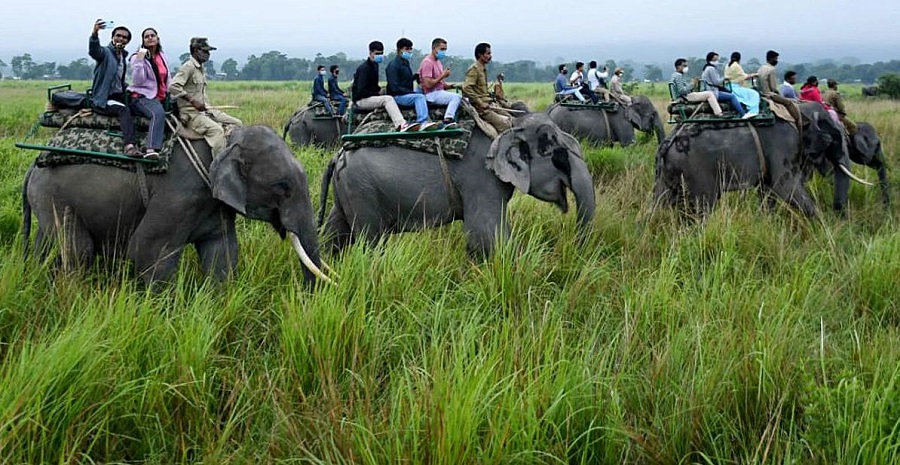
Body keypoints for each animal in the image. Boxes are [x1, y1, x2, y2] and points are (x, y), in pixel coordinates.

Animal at [22, 123, 328, 284]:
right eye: (282, 187)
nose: (308, 298)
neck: (226, 138)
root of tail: (33, 167)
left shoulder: (214, 204)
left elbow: (223, 252)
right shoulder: (179, 193)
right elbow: (148, 251)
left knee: (45, 246)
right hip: (55, 197)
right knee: (78, 251)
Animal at [318, 113, 596, 258]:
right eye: (559, 156)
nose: (575, 249)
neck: (507, 125)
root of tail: (338, 154)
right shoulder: (480, 178)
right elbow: (486, 236)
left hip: (348, 189)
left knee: (335, 232)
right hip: (362, 190)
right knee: (370, 241)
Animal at [652, 100, 868, 216]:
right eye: (835, 137)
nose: (840, 215)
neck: (797, 108)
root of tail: (669, 141)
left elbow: (768, 191)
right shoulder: (784, 143)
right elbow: (785, 187)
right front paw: (821, 225)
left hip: (669, 171)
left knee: (659, 202)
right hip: (698, 169)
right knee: (703, 206)